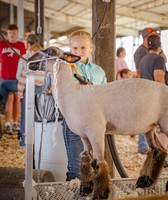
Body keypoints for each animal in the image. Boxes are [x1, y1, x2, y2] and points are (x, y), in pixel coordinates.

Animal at [27, 46, 168, 198]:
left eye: (51, 52)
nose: (29, 61)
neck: (72, 95)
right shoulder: (84, 135)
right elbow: (85, 159)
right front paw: (85, 189)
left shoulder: (96, 131)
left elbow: (98, 162)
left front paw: (101, 193)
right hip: (150, 127)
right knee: (158, 150)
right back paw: (145, 181)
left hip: (165, 123)